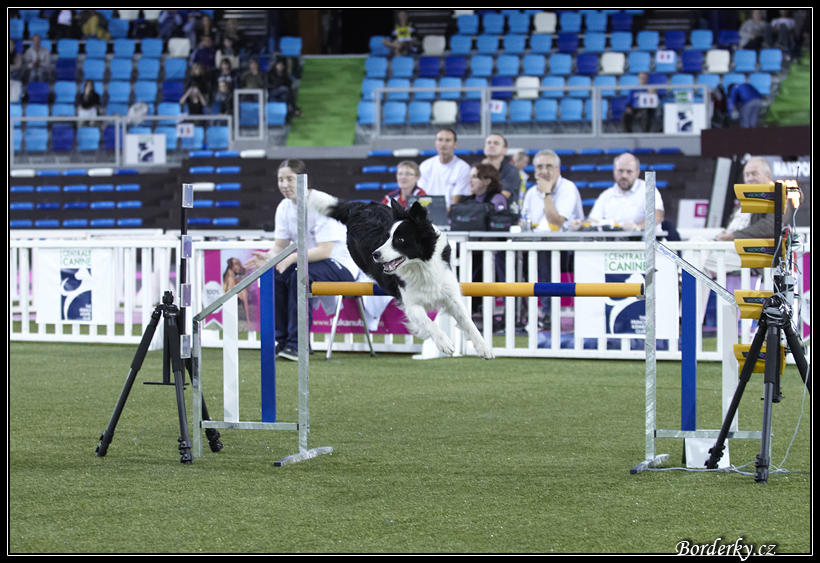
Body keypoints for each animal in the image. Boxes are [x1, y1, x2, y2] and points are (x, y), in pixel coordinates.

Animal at [309, 193, 494, 360]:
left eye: (400, 239)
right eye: (386, 238)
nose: (375, 254)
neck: (421, 266)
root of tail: (358, 206)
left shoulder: (450, 294)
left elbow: (468, 322)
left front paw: (484, 348)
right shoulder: (411, 305)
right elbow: (429, 323)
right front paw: (444, 343)